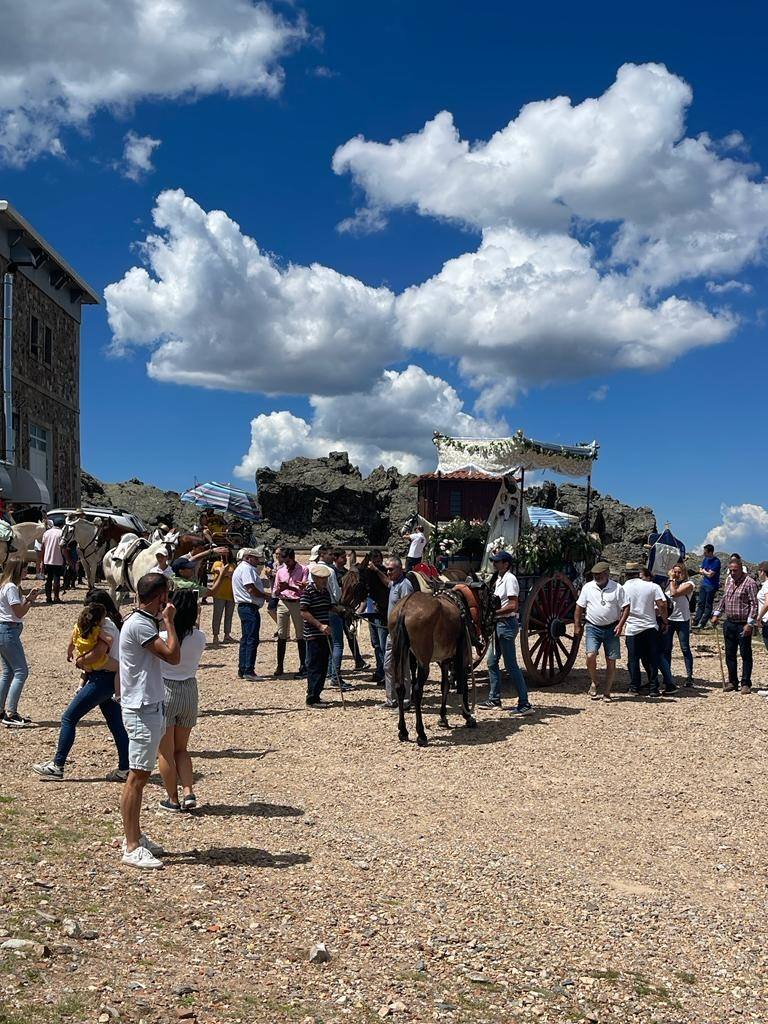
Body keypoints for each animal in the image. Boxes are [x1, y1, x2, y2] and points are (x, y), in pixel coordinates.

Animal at [387, 585, 495, 745]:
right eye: (493, 601)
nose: (490, 628)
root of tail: (404, 609)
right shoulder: (463, 658)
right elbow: (463, 685)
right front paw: (467, 716)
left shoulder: (445, 660)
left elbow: (445, 686)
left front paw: (443, 717)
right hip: (423, 661)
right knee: (417, 690)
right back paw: (421, 733)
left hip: (399, 654)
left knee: (400, 687)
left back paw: (403, 730)